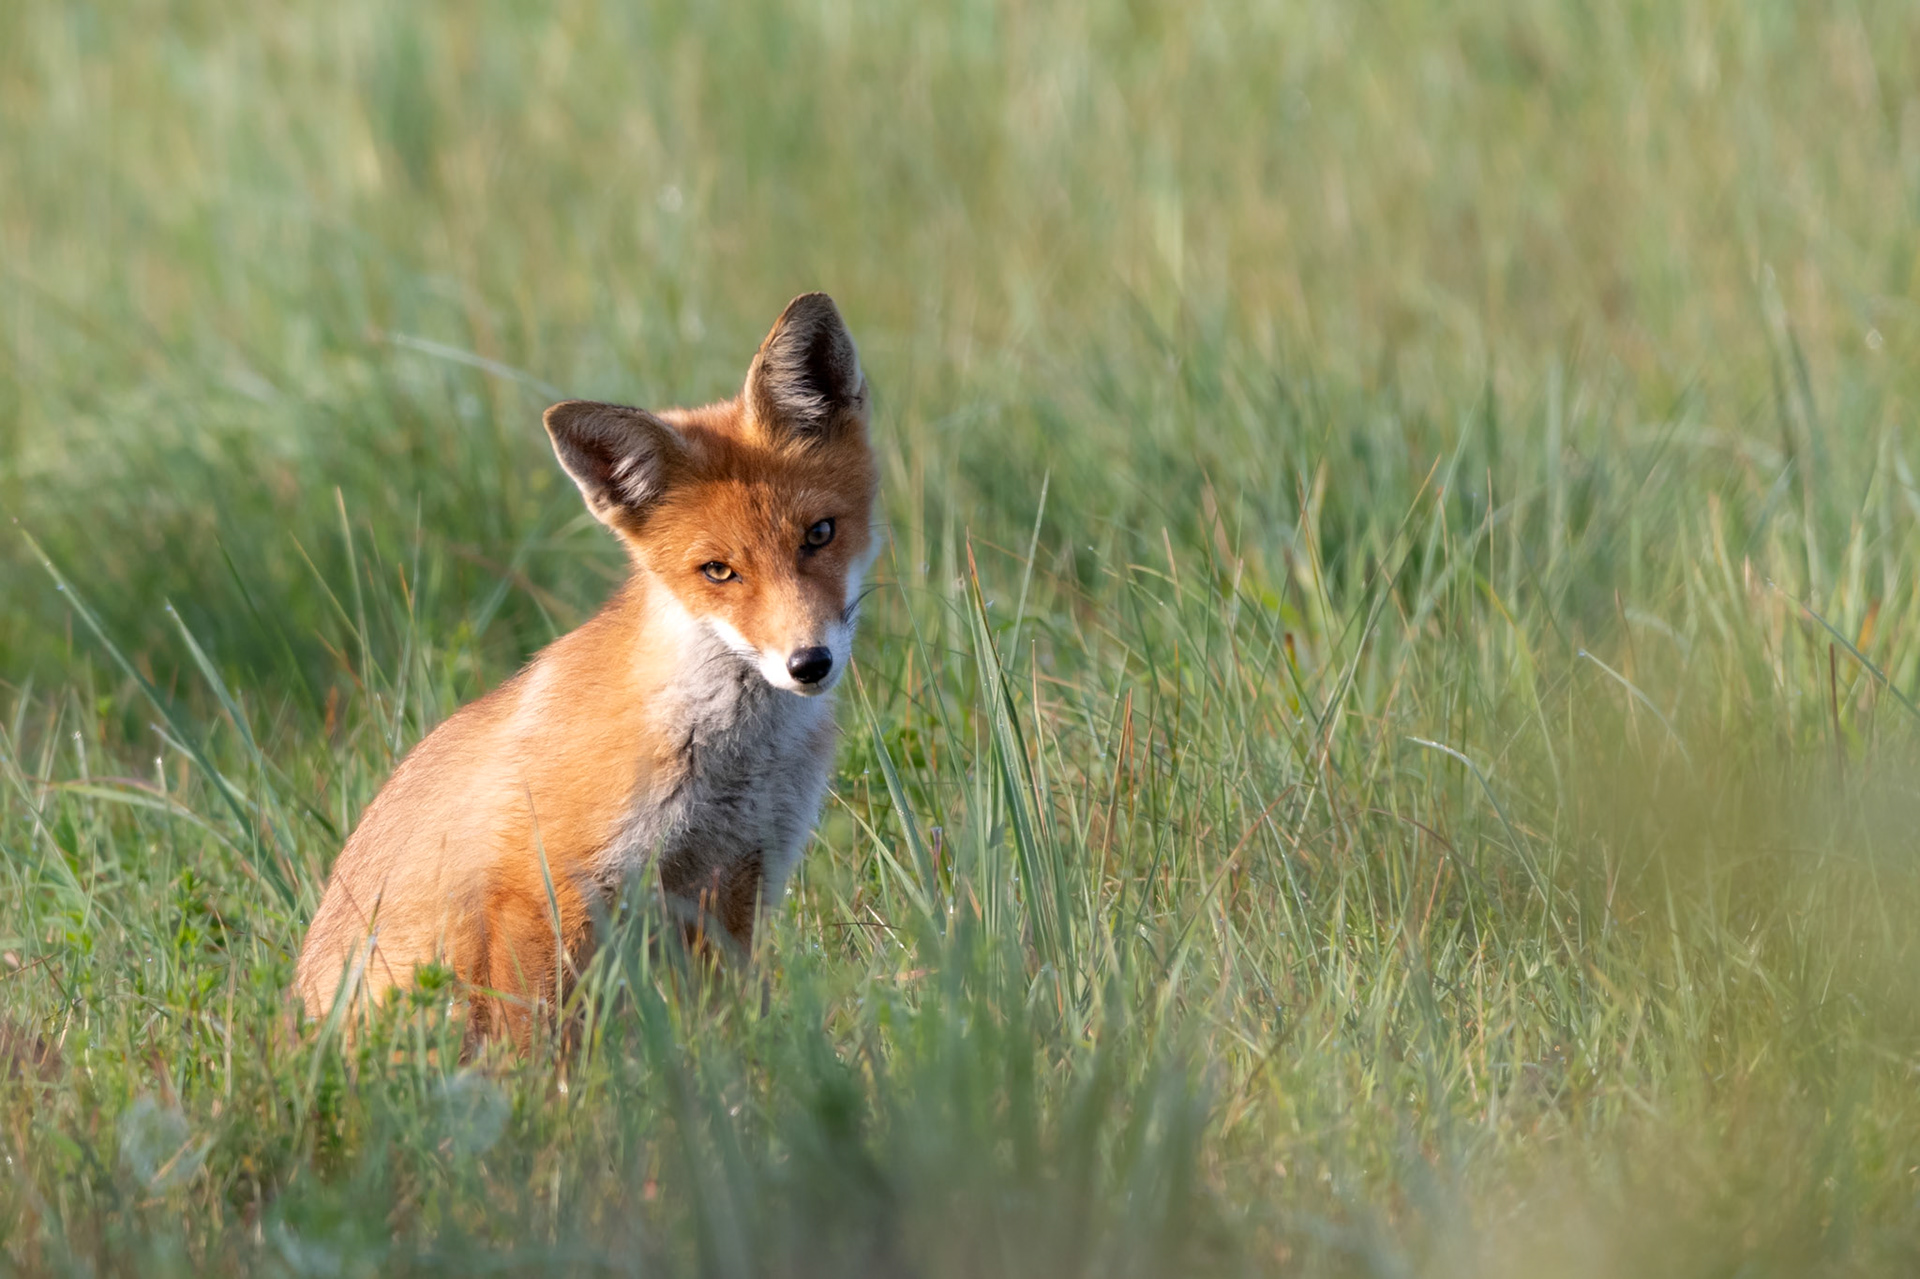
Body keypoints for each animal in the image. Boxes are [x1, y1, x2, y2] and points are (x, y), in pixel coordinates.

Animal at [294, 293, 879, 1043]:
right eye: (718, 571)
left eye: (820, 534)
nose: (808, 663)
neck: (734, 760)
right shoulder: (541, 887)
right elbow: (536, 1051)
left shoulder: (736, 879)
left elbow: (722, 1034)